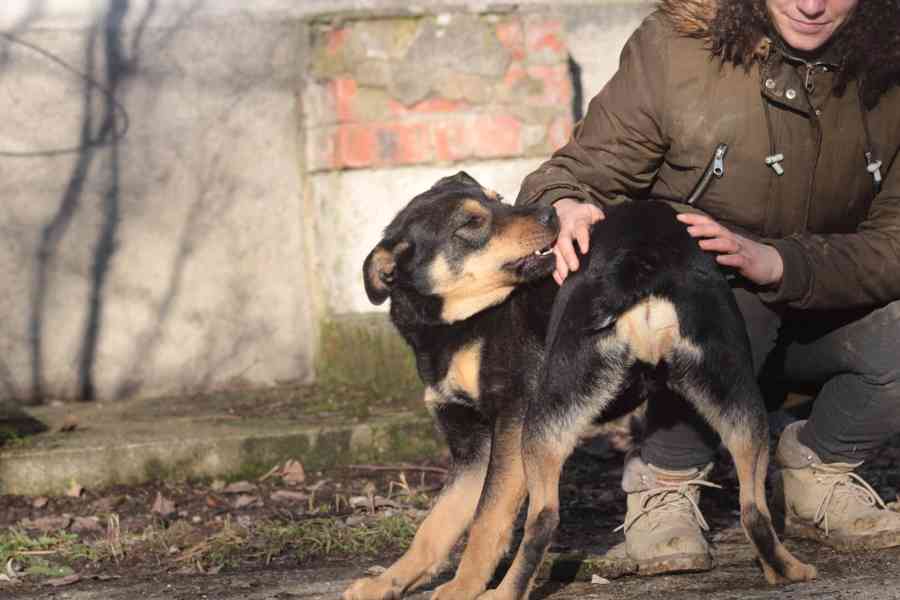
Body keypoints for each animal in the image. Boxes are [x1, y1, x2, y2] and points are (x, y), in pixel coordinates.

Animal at [344, 170, 816, 600]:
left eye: (500, 200)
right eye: (471, 224)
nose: (551, 213)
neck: (459, 326)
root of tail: (641, 259)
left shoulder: (509, 428)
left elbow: (485, 521)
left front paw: (460, 590)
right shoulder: (470, 449)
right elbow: (434, 527)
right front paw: (385, 584)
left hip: (544, 424)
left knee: (544, 518)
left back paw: (504, 593)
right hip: (737, 400)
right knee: (753, 509)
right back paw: (787, 570)